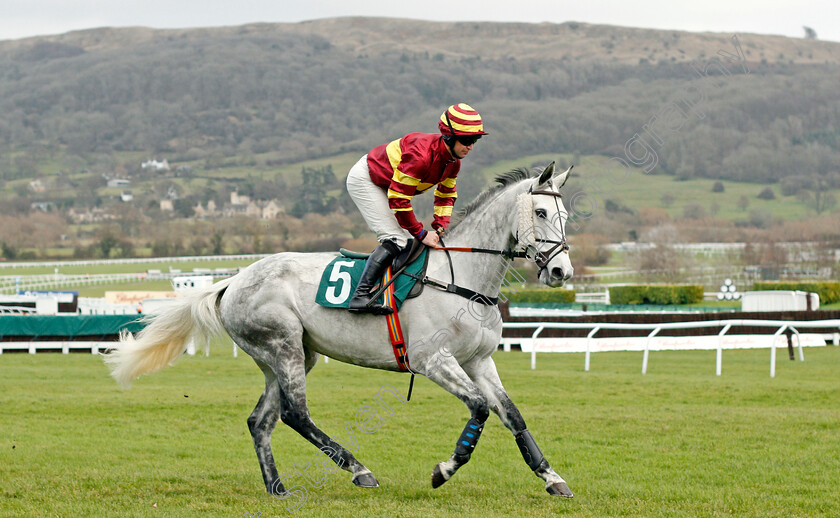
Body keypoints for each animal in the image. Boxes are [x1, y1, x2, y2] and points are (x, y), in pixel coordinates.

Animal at [105, 161, 576, 500]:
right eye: (540, 212)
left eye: (564, 215)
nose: (561, 272)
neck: (461, 277)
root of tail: (232, 282)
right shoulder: (433, 361)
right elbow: (479, 408)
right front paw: (443, 470)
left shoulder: (479, 360)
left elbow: (512, 414)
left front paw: (552, 478)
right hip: (284, 347)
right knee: (295, 414)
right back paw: (359, 470)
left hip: (289, 356)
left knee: (261, 421)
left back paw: (277, 488)